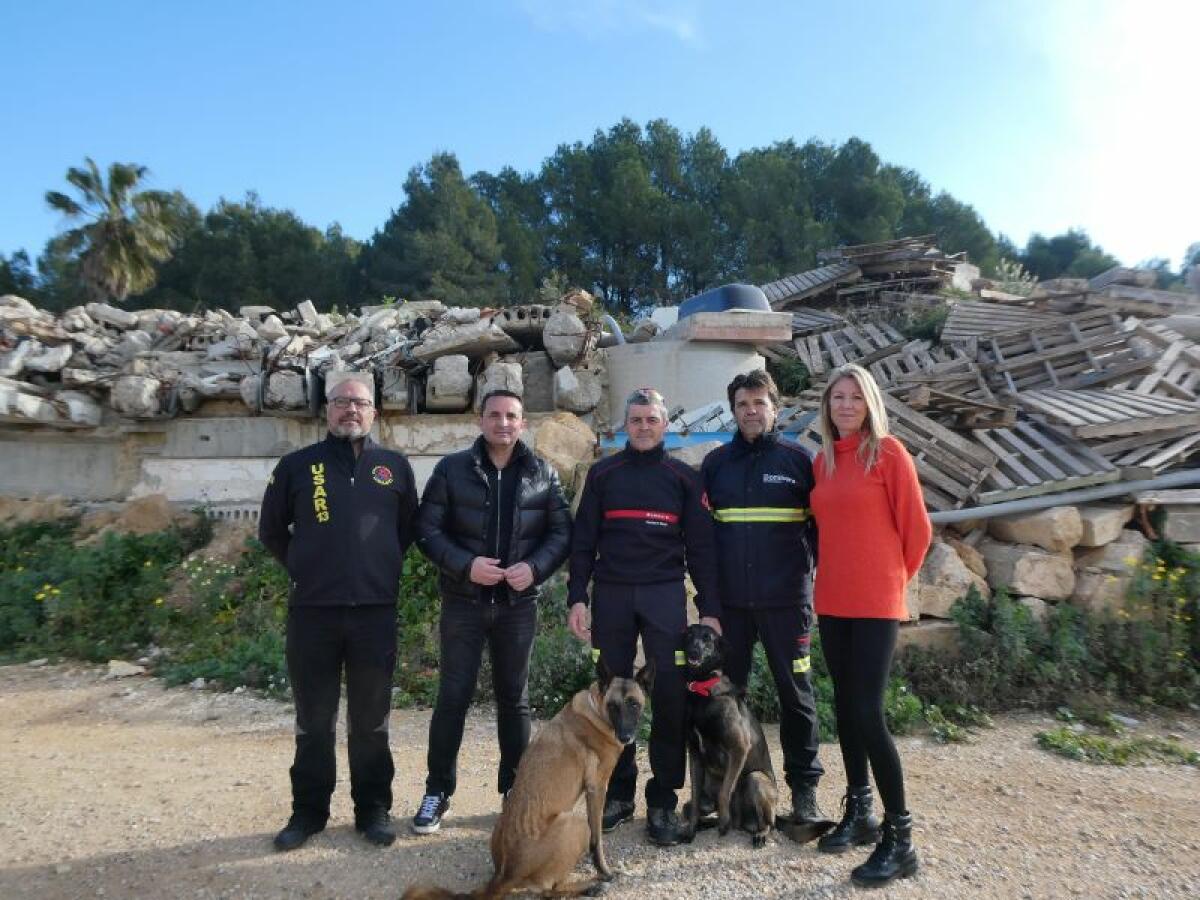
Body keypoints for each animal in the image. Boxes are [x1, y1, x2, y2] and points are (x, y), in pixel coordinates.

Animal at [403, 657, 652, 900]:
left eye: (634, 704)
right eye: (613, 706)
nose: (626, 737)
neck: (596, 710)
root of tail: (504, 875)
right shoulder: (597, 788)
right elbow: (597, 842)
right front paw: (604, 871)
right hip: (576, 822)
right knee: (551, 890)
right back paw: (589, 887)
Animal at [681, 624, 782, 849]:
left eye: (707, 638)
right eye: (689, 634)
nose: (693, 652)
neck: (703, 689)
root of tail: (742, 823)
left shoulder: (739, 748)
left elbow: (724, 793)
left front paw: (723, 822)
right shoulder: (695, 754)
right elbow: (694, 797)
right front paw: (691, 830)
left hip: (756, 779)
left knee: (770, 824)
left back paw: (757, 832)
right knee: (691, 806)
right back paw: (709, 823)